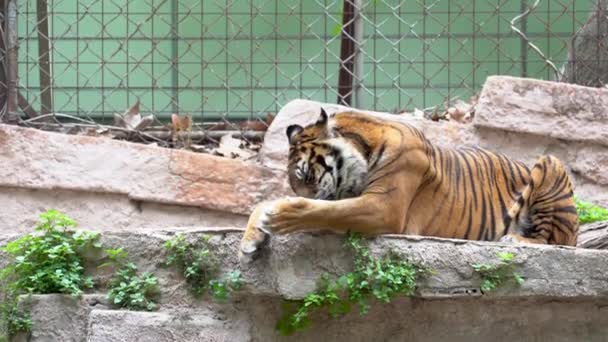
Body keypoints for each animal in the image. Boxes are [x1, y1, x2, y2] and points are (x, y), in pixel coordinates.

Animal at [238, 108, 580, 260]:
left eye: (307, 175)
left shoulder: (385, 206)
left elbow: (325, 210)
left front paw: (281, 217)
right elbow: (265, 203)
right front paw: (251, 238)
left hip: (550, 162)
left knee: (554, 242)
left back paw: (514, 239)